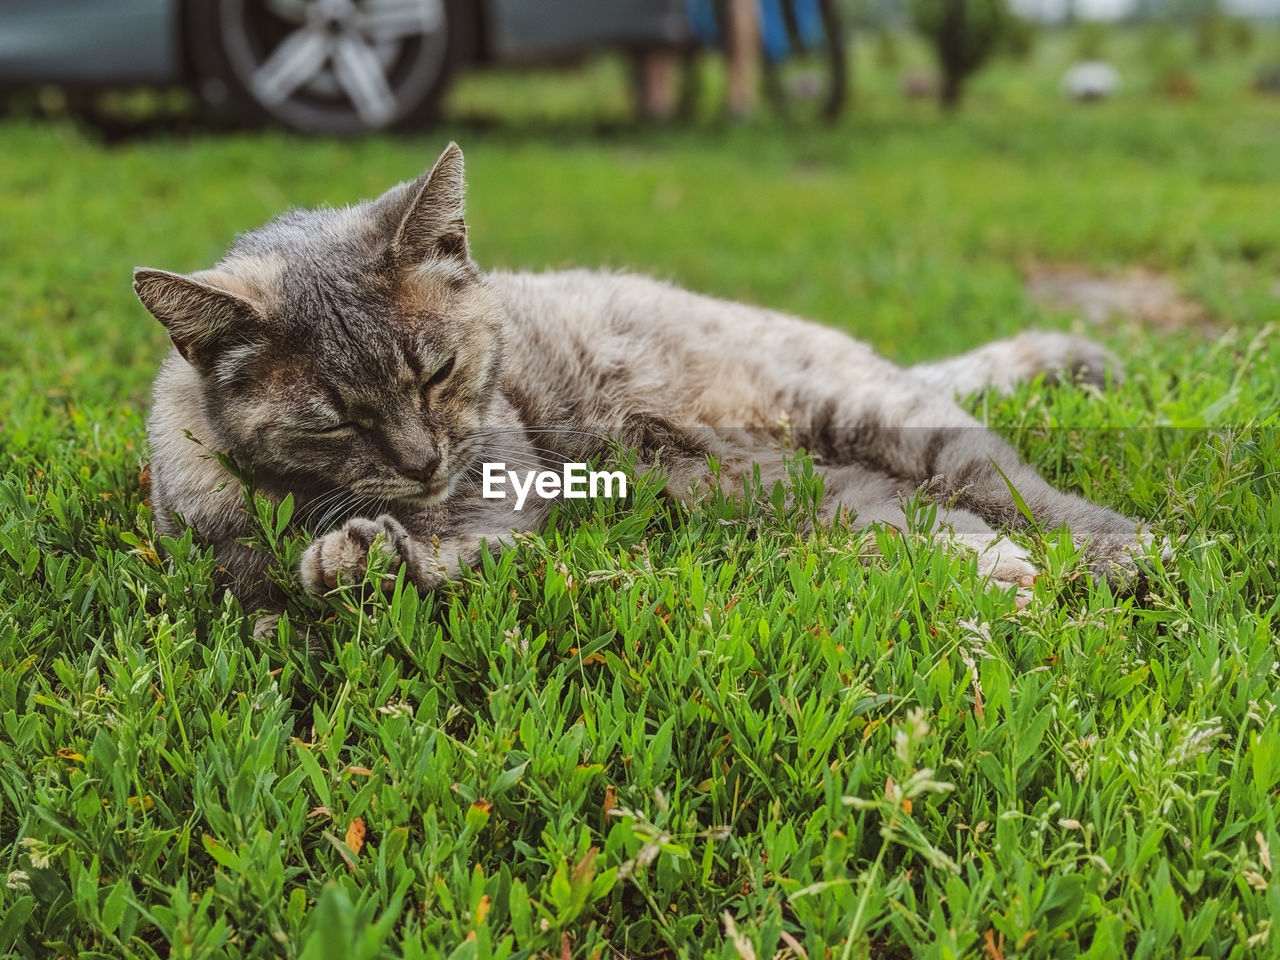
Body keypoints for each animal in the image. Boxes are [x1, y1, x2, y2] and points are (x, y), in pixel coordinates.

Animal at [135, 140, 1157, 616]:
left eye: (439, 372)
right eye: (333, 420)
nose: (423, 462)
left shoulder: (502, 497)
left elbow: (451, 549)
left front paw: (366, 559)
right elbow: (258, 586)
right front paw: (342, 559)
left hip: (868, 412)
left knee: (1010, 486)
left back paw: (1114, 554)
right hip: (782, 492)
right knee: (925, 522)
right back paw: (1000, 572)